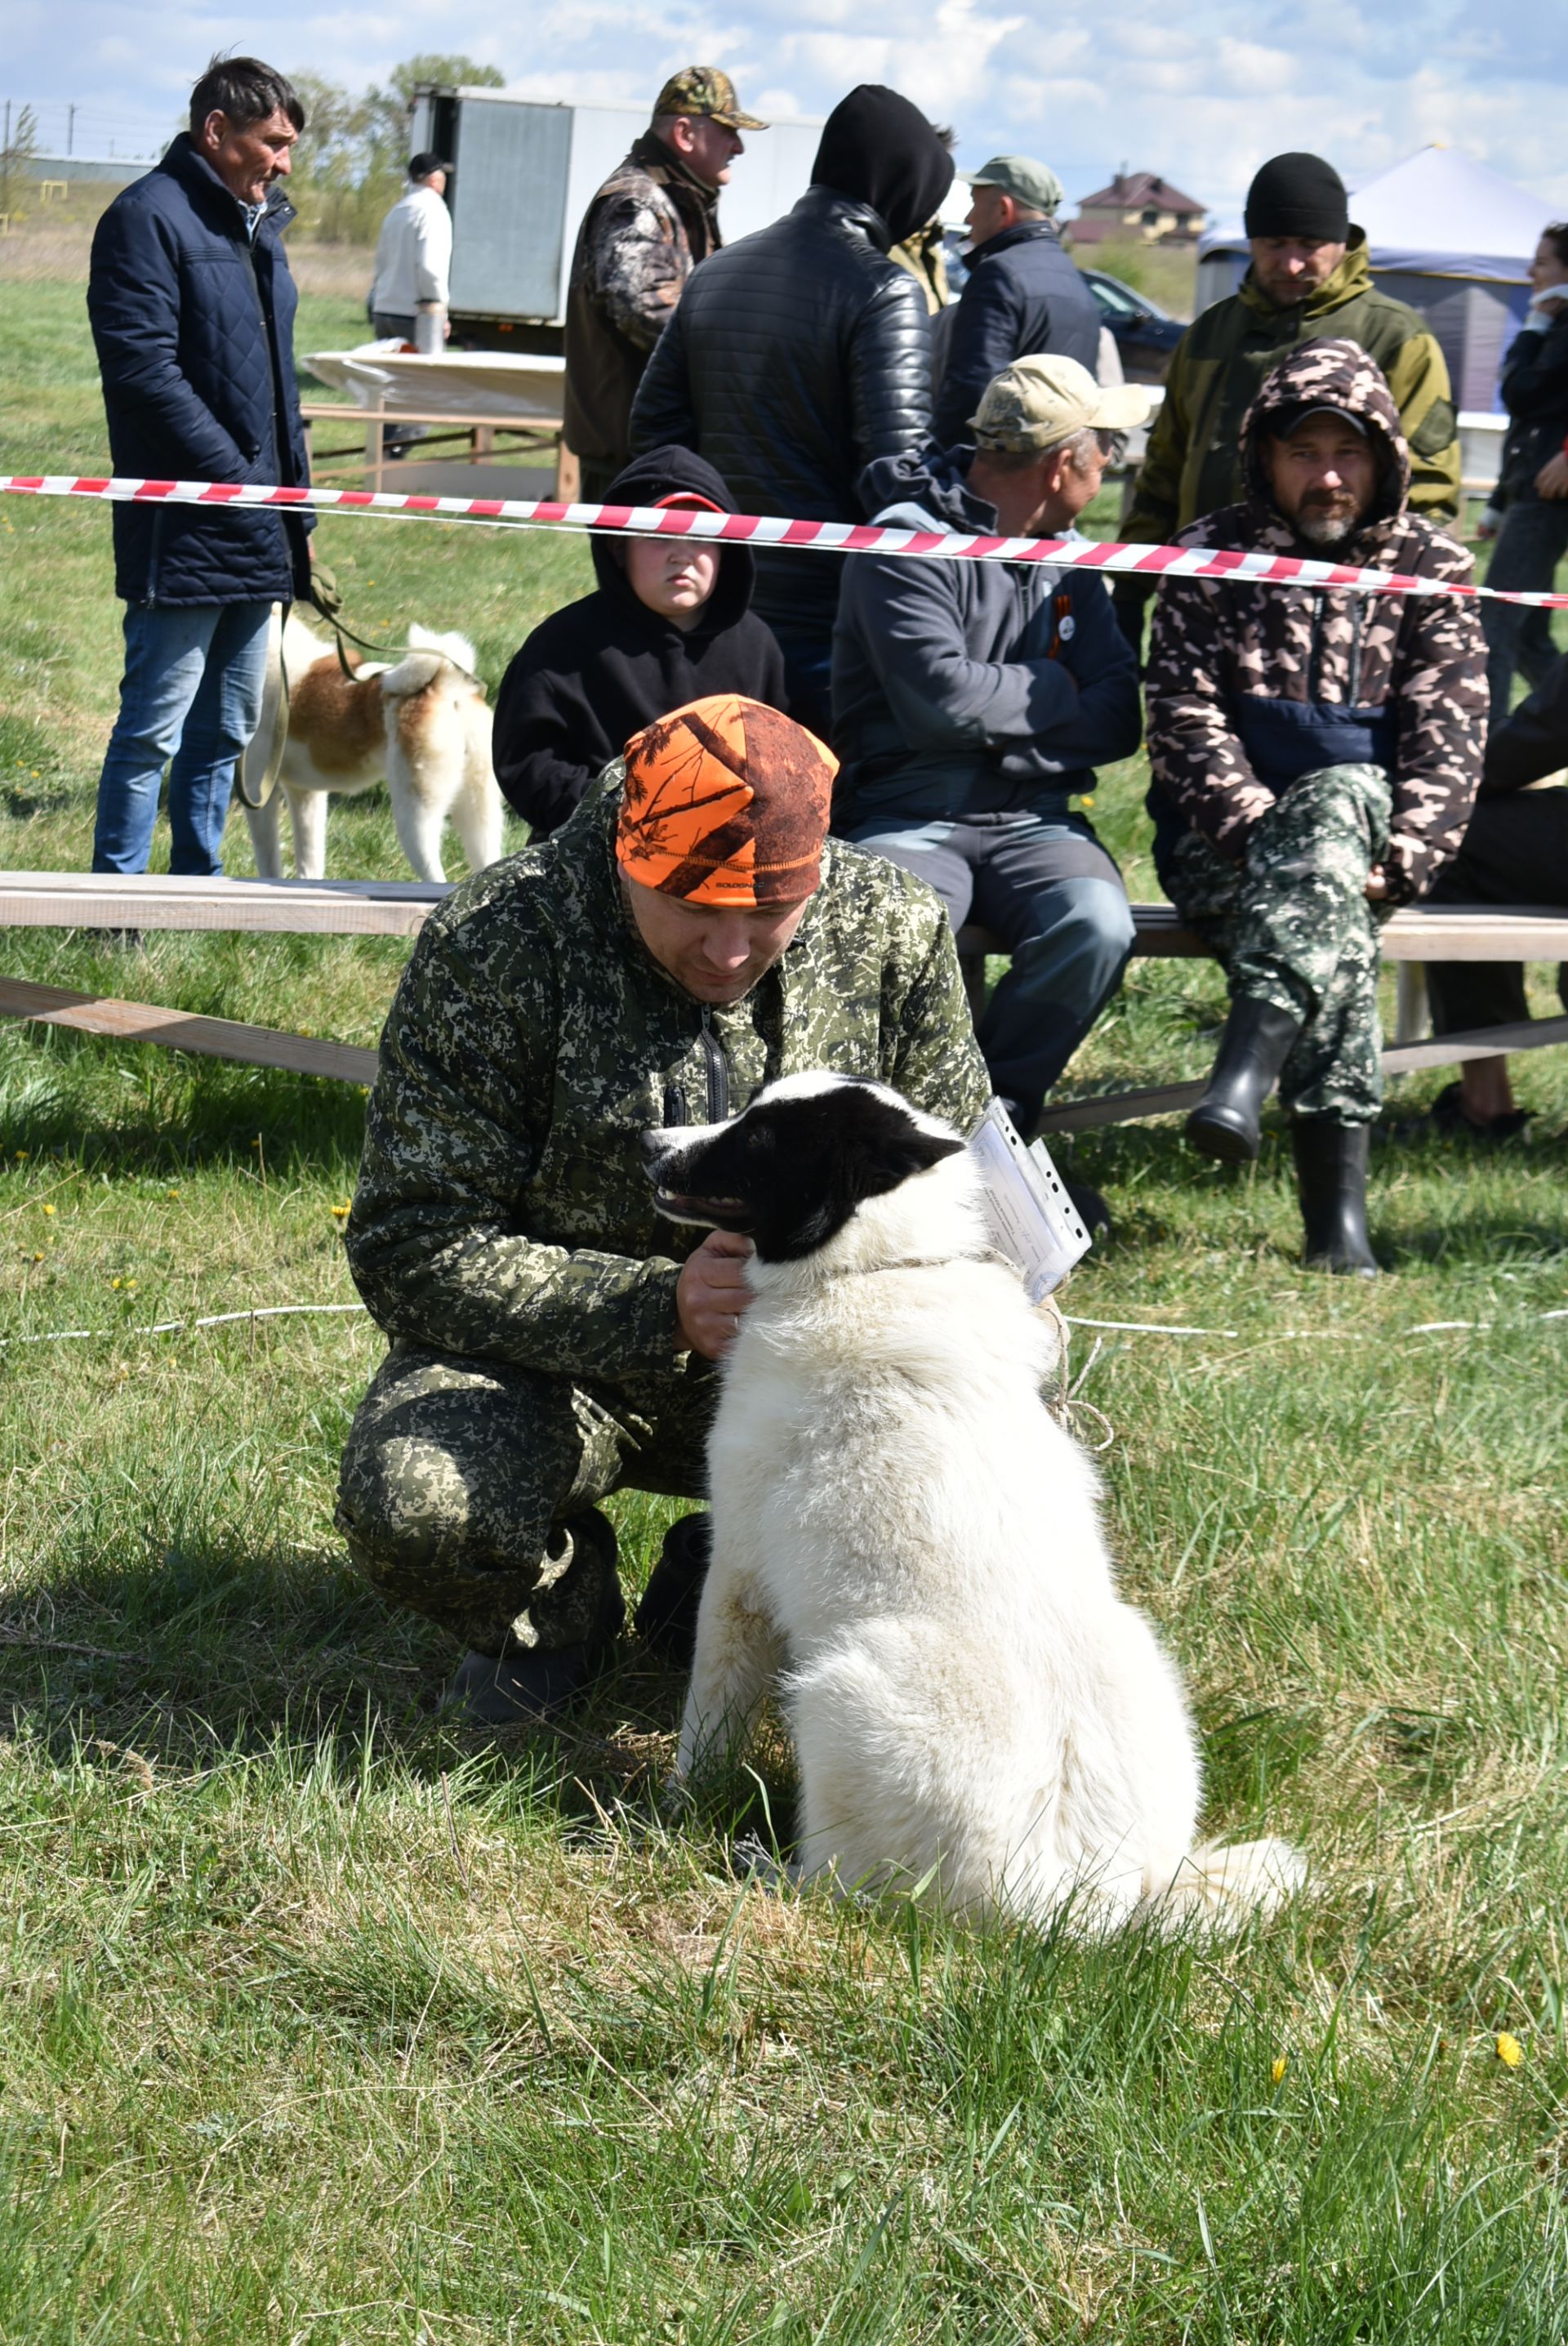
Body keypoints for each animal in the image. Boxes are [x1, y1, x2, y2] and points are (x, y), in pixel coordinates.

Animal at [241, 609, 504, 881]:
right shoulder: (306, 794)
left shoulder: (257, 793)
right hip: (479, 817)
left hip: (416, 819)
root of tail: (443, 687)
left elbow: (268, 861)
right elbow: (309, 862)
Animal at [637, 1074, 1294, 1933]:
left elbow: (707, 1722)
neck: (877, 1267)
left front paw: (674, 1808)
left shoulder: (739, 1573)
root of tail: (1084, 1906)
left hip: (839, 1694)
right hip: (1144, 1661)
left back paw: (767, 1870)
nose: (647, 1139)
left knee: (847, 1883)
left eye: (756, 1136)